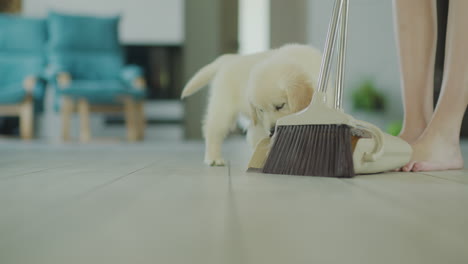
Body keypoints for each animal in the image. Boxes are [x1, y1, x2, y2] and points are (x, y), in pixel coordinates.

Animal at [181, 44, 334, 166]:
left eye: (280, 106)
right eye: (261, 110)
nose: (272, 131)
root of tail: (229, 59)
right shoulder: (260, 124)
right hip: (223, 109)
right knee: (212, 132)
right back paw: (213, 158)